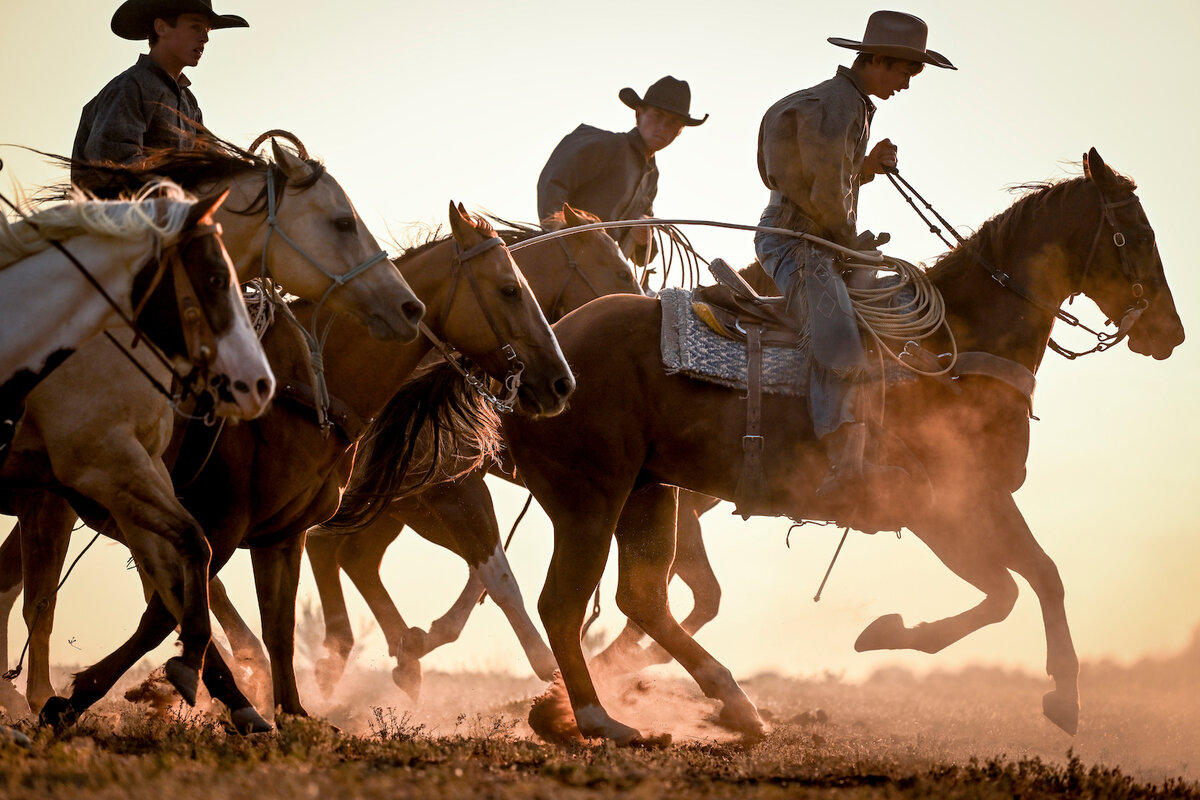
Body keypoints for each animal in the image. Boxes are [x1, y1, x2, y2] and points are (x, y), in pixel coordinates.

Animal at [0, 133, 427, 714]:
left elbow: (183, 571)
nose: (409, 307)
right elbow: (175, 576)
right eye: (342, 222)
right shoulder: (99, 470)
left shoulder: (140, 477)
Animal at [492, 148, 1185, 743]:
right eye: (1136, 236)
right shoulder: (944, 509)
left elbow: (1040, 578)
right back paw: (595, 717)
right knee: (565, 603)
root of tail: (542, 358)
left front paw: (1060, 696)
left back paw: (714, 705)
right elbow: (1010, 589)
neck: (953, 353)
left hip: (648, 492)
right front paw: (891, 634)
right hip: (590, 498)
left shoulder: (982, 499)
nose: (1171, 333)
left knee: (644, 597)